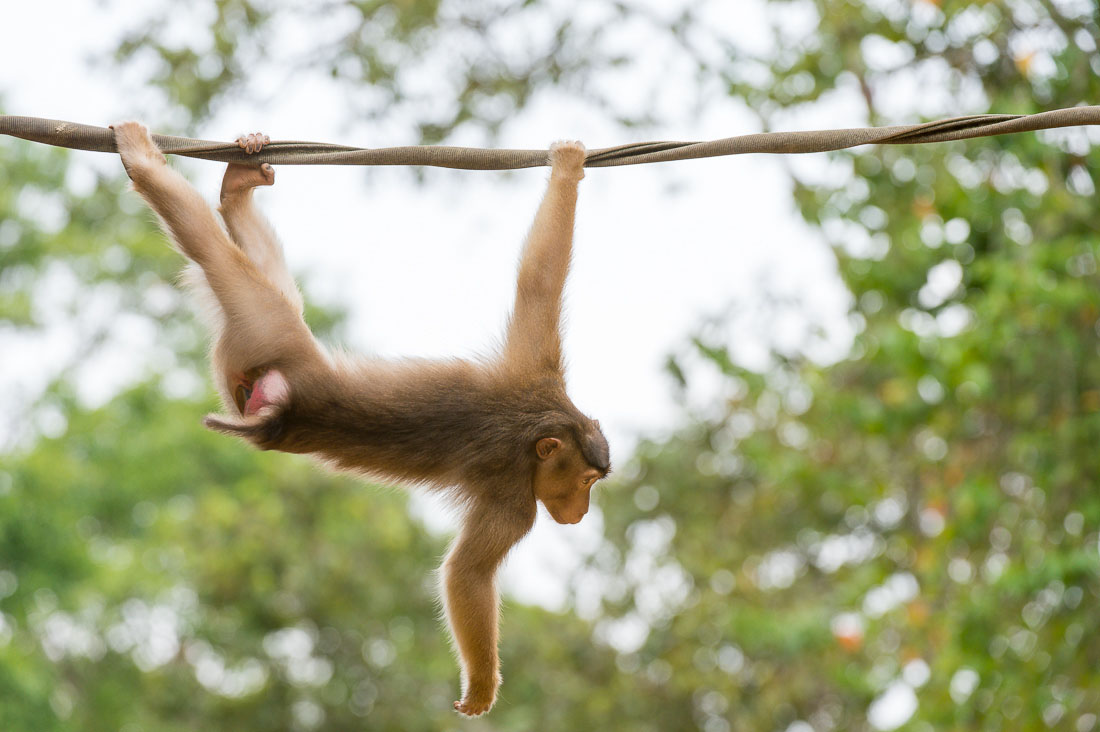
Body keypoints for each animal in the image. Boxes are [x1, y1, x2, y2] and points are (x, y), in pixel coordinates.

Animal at [113, 122, 611, 717]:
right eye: (586, 481)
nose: (581, 511)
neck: (540, 420)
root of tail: (280, 408)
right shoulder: (517, 485)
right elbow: (467, 575)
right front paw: (482, 686)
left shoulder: (541, 380)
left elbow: (539, 277)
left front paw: (566, 171)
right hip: (270, 329)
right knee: (214, 257)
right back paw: (146, 163)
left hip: (253, 353)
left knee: (255, 276)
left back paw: (237, 190)